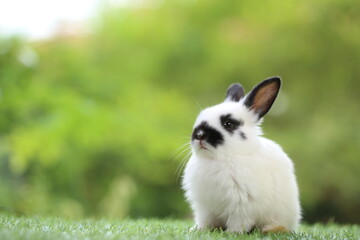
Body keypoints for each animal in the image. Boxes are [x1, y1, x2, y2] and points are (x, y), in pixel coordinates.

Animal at [183, 76, 300, 232]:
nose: (200, 135)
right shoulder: (205, 207)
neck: (220, 159)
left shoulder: (242, 205)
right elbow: (205, 221)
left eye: (228, 124)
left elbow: (239, 221)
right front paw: (199, 230)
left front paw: (233, 233)